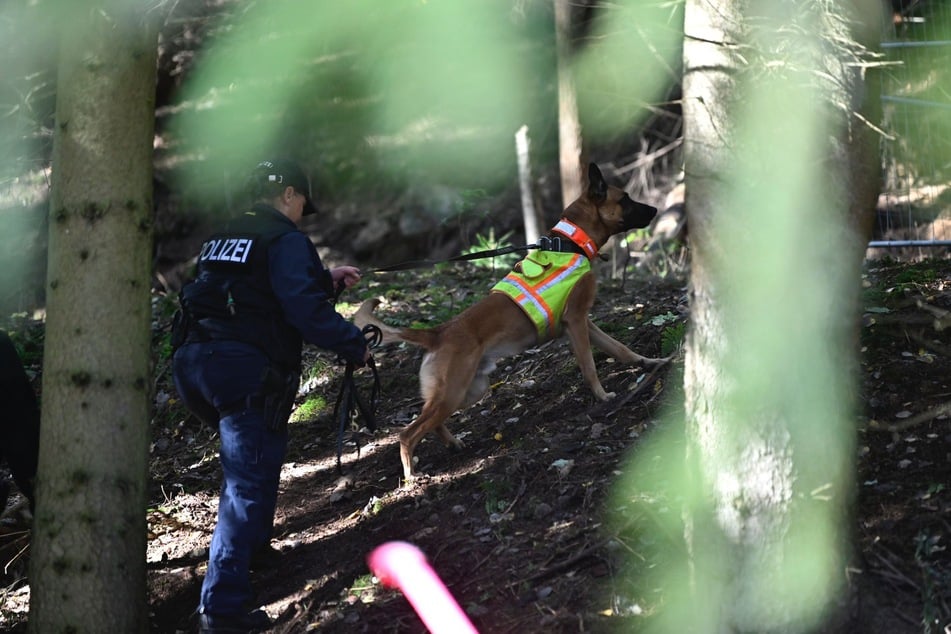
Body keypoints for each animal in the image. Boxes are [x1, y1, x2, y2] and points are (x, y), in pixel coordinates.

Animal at [356, 163, 660, 478]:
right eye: (625, 198)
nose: (654, 209)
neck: (570, 243)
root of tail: (438, 332)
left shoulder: (584, 322)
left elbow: (620, 349)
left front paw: (651, 362)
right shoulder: (576, 322)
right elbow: (589, 366)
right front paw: (602, 396)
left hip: (468, 391)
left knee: (431, 423)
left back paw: (453, 443)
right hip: (453, 392)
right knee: (407, 433)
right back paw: (411, 476)